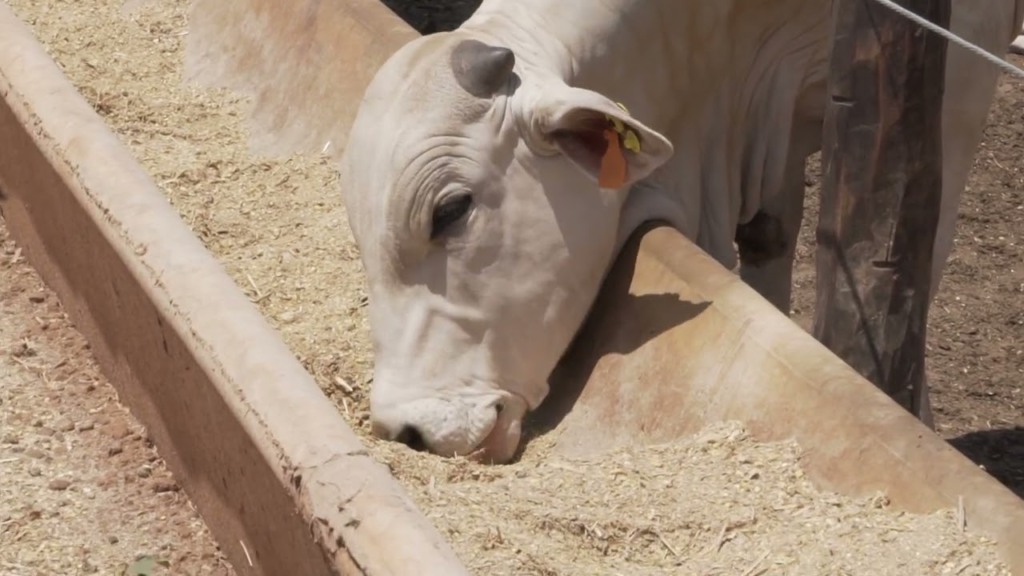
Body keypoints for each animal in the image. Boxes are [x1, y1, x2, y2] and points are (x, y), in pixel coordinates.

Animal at [337, 0, 1024, 461]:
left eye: (451, 210)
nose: (407, 433)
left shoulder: (960, 71)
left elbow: (918, 261)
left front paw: (912, 416)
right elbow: (769, 234)